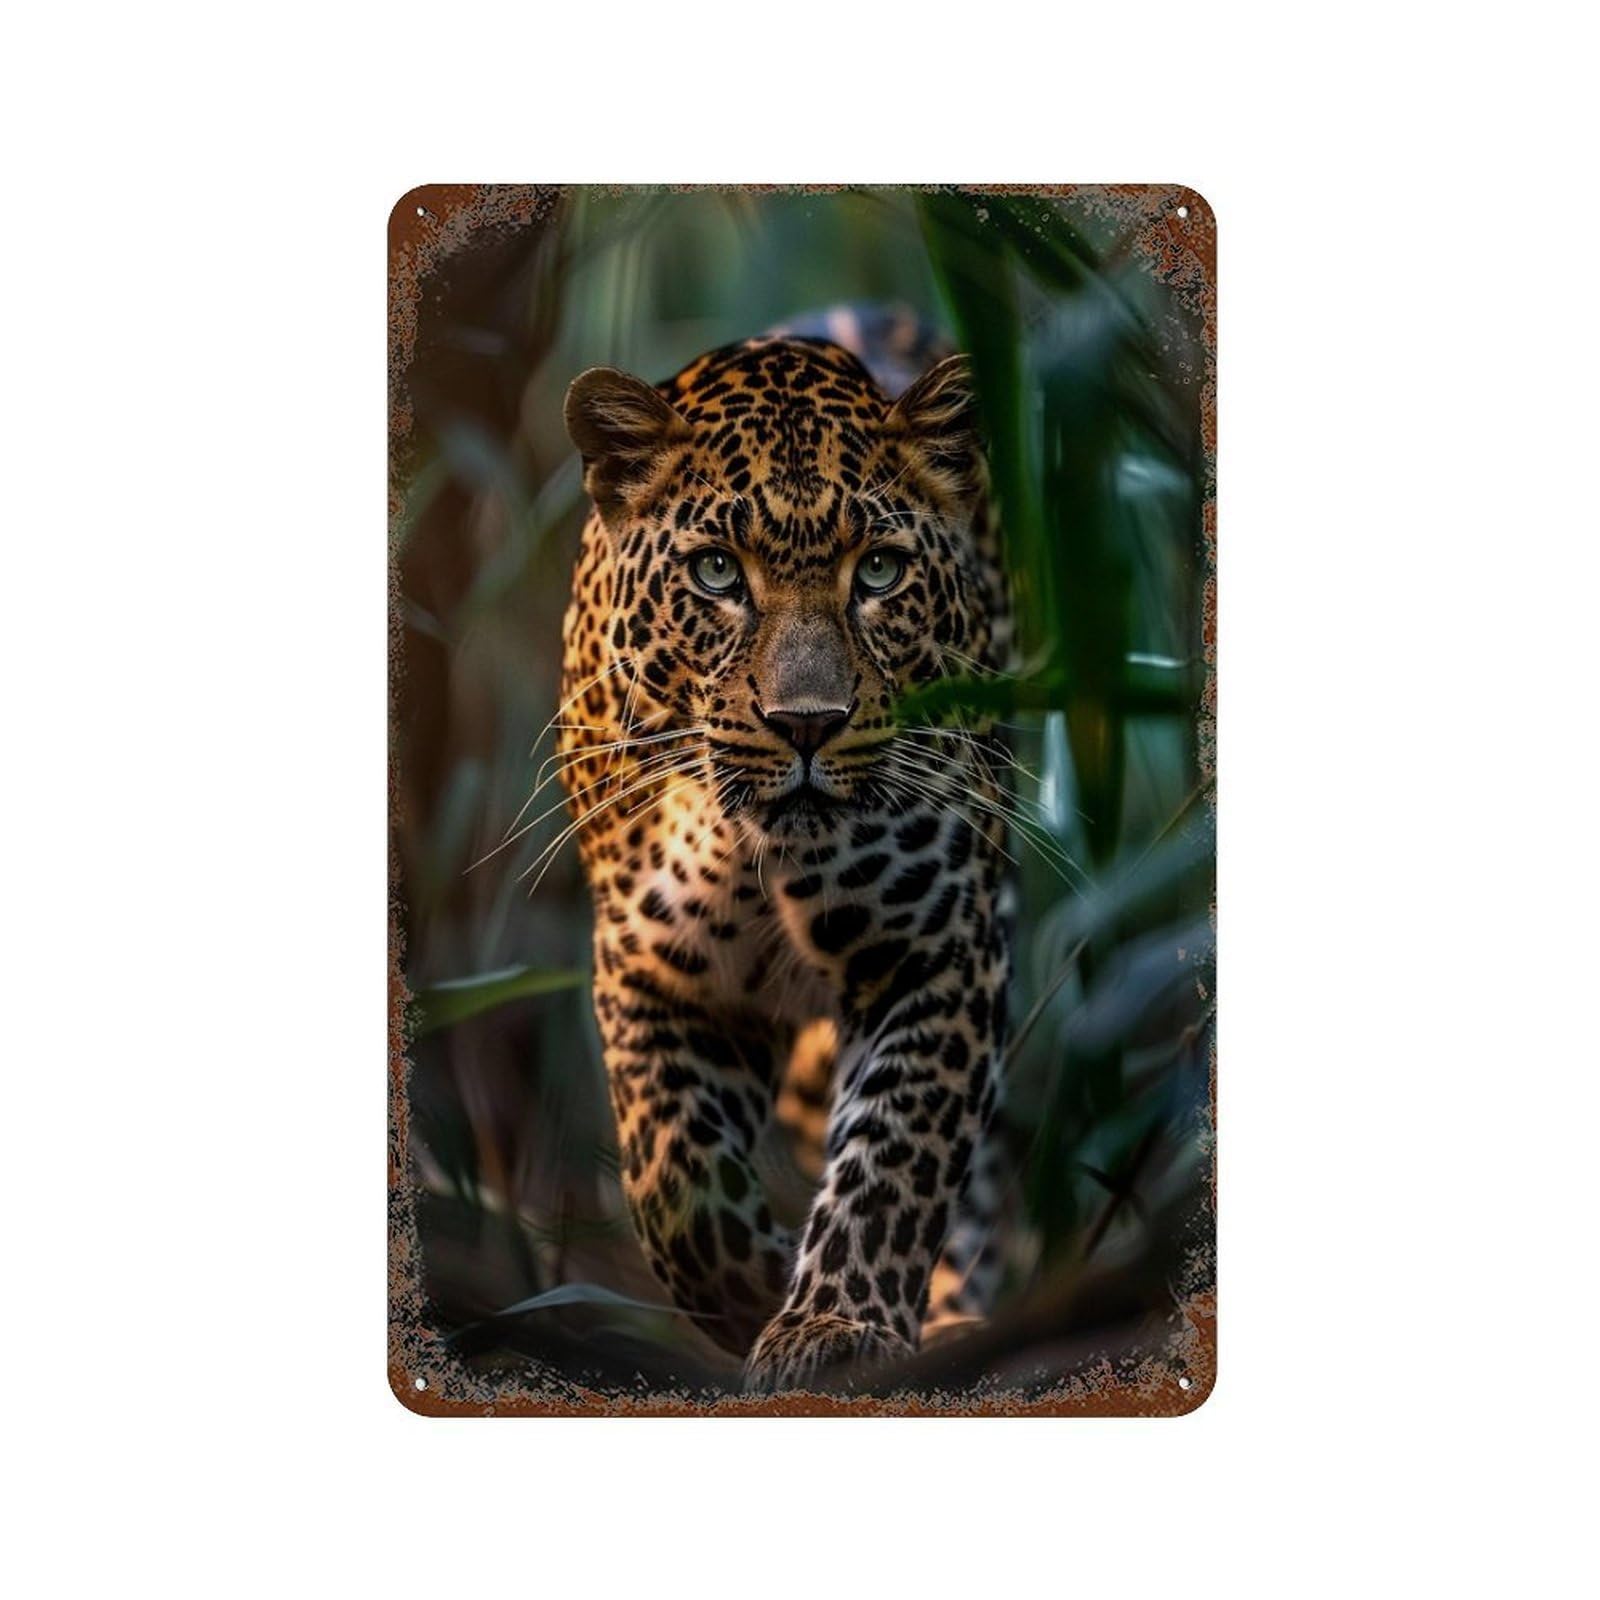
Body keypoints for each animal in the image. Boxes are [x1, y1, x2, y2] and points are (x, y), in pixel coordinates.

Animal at [554, 329, 1013, 1392]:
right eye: (718, 573)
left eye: (878, 571)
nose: (807, 724)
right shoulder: (650, 972)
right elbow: (673, 1184)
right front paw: (762, 1285)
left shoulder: (936, 952)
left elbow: (896, 1158)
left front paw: (833, 1324)